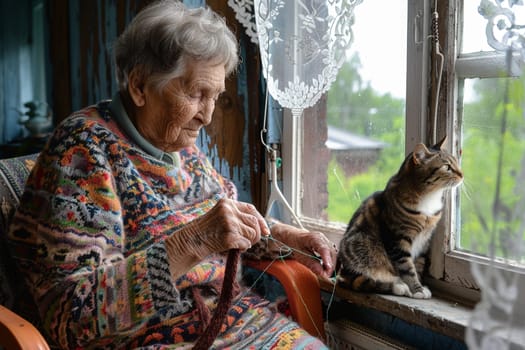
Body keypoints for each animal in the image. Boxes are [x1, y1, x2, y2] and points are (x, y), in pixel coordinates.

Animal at [336, 136, 462, 298]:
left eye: (456, 162)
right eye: (447, 167)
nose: (462, 174)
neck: (429, 197)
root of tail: (342, 273)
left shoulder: (424, 242)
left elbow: (417, 265)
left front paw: (419, 286)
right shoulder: (398, 239)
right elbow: (407, 268)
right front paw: (417, 290)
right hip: (362, 249)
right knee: (365, 281)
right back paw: (398, 286)